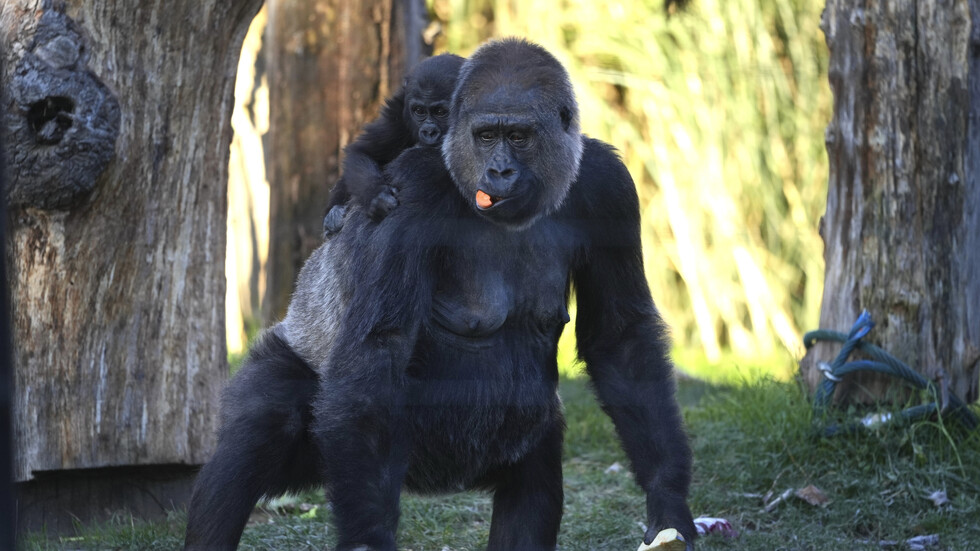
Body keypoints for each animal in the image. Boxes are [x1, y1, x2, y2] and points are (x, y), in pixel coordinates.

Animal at [324, 51, 466, 233]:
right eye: (419, 111)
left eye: (440, 112)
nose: (429, 131)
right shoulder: (397, 114)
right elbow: (362, 151)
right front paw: (377, 197)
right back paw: (333, 213)